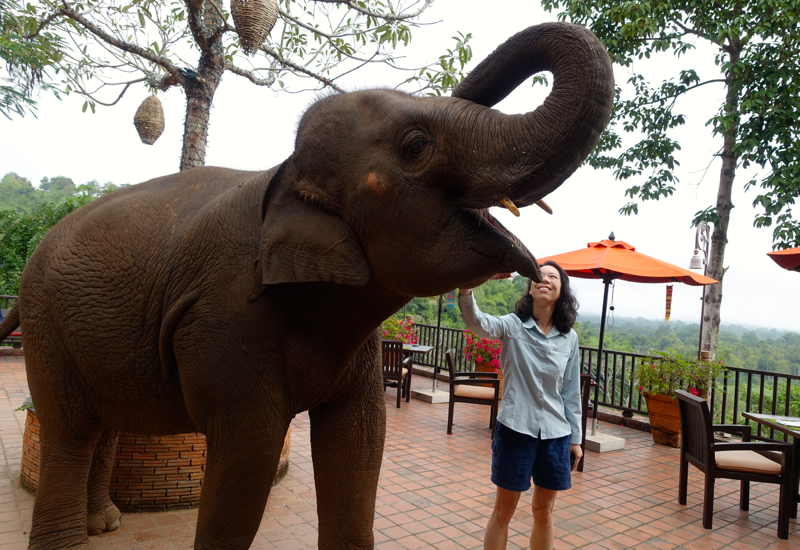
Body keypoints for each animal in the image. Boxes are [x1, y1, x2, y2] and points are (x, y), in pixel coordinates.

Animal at [0, 21, 612, 550]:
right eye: (417, 147)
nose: (541, 275)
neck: (286, 170)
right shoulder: (224, 320)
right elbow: (249, 455)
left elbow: (361, 440)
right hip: (47, 323)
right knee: (69, 428)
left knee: (103, 421)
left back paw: (103, 524)